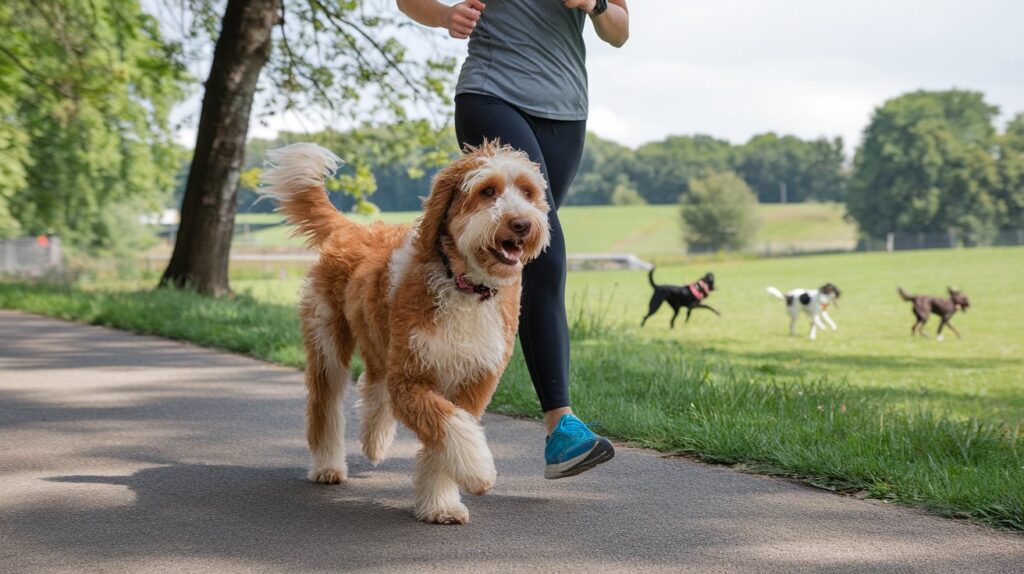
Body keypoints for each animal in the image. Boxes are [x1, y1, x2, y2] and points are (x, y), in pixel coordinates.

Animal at [264, 140, 552, 523]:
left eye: (527, 192)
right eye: (487, 191)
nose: (521, 223)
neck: (462, 285)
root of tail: (354, 230)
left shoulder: (475, 379)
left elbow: (447, 438)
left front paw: (441, 505)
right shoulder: (411, 379)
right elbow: (452, 428)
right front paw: (477, 472)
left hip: (378, 336)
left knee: (373, 382)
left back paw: (374, 440)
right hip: (328, 338)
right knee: (326, 403)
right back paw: (327, 466)